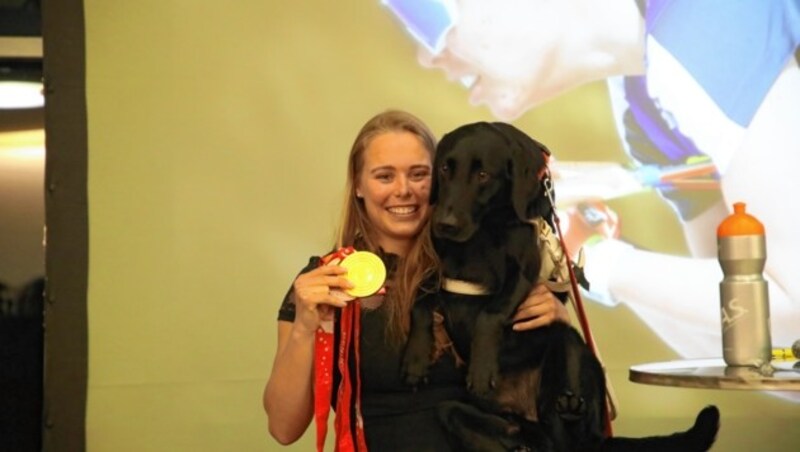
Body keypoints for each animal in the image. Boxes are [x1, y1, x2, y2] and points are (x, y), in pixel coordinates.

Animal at [400, 122, 720, 450]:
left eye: (483, 175)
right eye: (444, 169)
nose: (445, 224)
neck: (484, 232)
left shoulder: (523, 272)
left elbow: (490, 314)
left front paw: (481, 367)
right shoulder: (435, 269)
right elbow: (419, 304)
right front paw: (415, 360)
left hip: (568, 342)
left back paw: (570, 409)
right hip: (460, 410)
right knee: (502, 427)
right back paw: (519, 436)